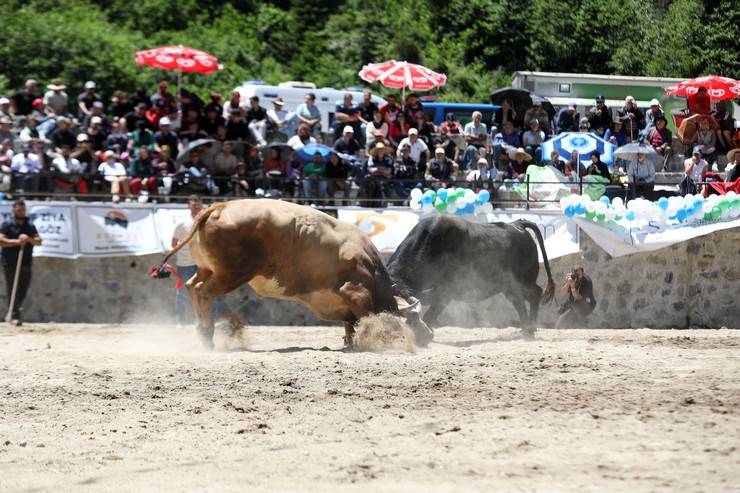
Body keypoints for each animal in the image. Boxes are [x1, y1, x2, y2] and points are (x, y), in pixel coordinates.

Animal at [159, 198, 430, 348]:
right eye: (415, 319)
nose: (429, 335)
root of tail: (220, 206)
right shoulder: (355, 290)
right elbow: (368, 317)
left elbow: (350, 323)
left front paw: (351, 341)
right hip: (232, 274)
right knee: (203, 293)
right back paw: (207, 334)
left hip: (208, 269)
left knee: (192, 286)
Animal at [388, 213, 556, 332]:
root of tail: (517, 224)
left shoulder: (446, 291)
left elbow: (431, 314)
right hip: (509, 285)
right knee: (518, 301)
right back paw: (525, 328)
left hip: (524, 280)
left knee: (535, 293)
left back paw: (531, 328)